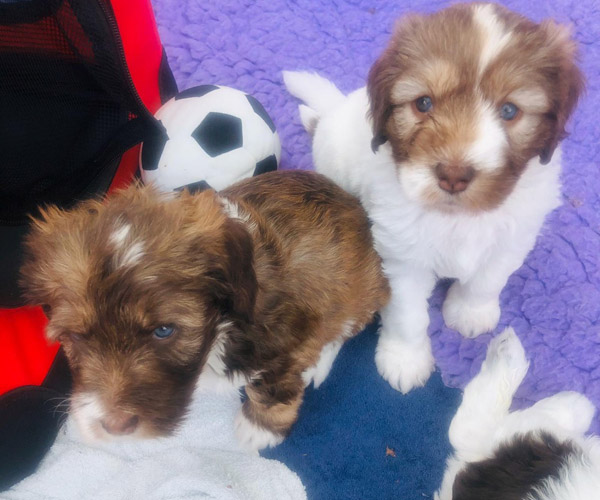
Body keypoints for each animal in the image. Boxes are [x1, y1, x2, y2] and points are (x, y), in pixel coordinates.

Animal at [20, 170, 390, 451]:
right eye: (77, 336)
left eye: (164, 331)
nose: (115, 426)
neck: (220, 330)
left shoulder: (287, 342)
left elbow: (271, 390)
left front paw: (259, 430)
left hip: (362, 292)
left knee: (345, 325)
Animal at [283, 2, 584, 394]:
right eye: (423, 103)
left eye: (509, 111)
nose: (453, 175)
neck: (458, 217)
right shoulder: (401, 258)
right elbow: (408, 314)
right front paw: (405, 359)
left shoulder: (514, 236)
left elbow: (488, 279)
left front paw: (470, 311)